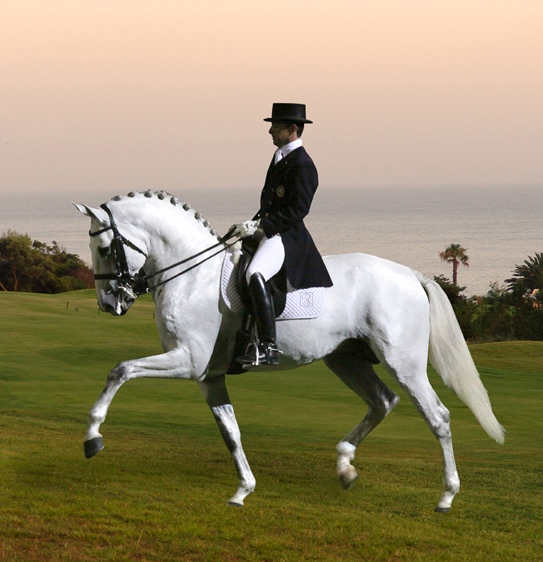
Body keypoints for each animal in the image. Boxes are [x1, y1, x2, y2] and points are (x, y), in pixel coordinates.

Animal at [73, 189, 506, 512]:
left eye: (105, 247)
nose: (109, 303)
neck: (193, 277)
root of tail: (411, 275)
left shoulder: (188, 362)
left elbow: (120, 369)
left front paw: (93, 437)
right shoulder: (209, 376)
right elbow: (230, 431)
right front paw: (243, 490)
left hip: (405, 364)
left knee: (438, 417)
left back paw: (446, 496)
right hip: (345, 360)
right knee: (383, 401)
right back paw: (345, 467)